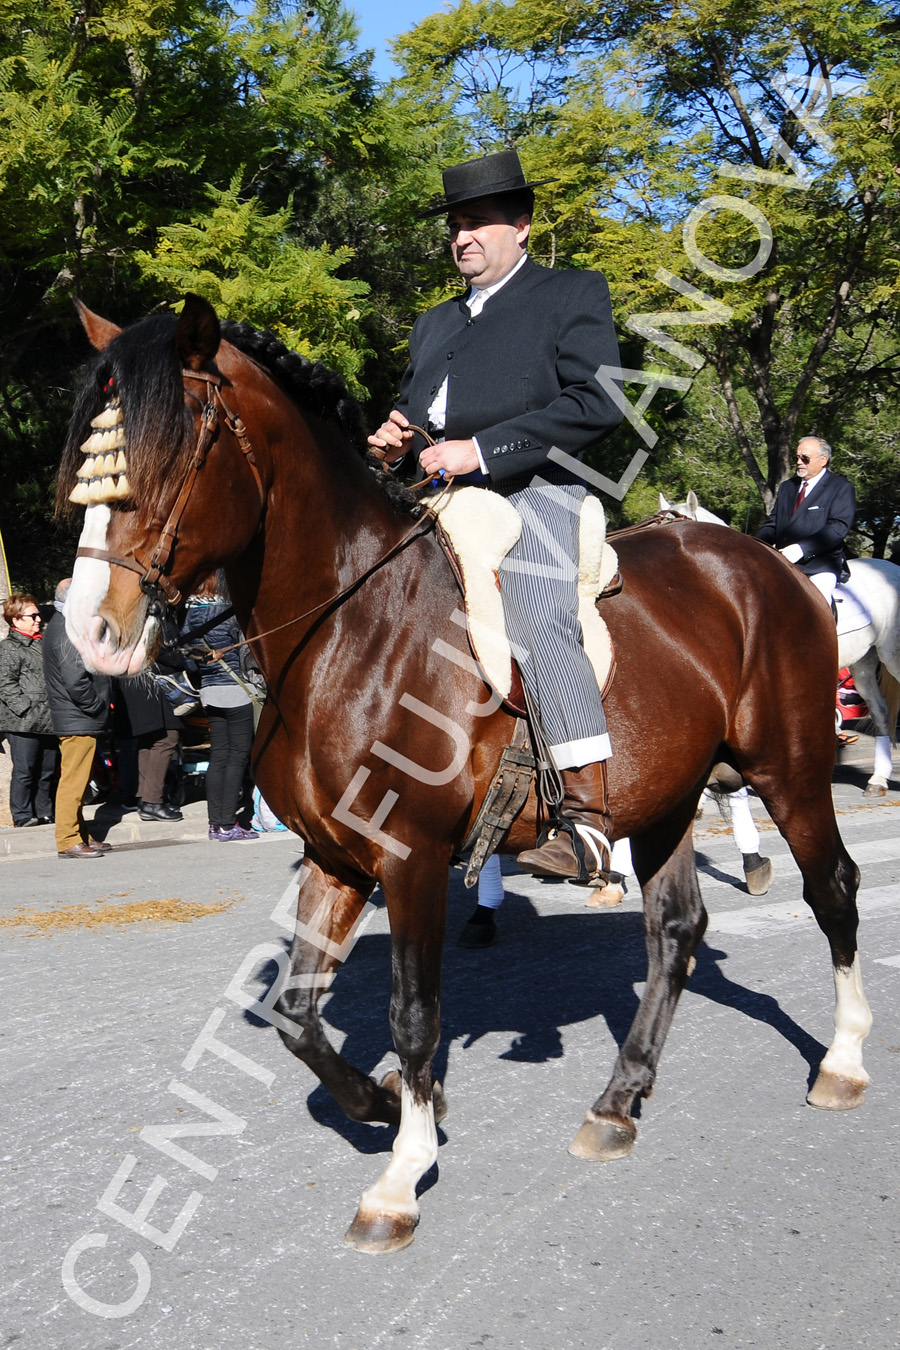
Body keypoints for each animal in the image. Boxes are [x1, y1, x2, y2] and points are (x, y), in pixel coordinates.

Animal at [58, 292, 874, 1252]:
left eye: (171, 450)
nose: (88, 633)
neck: (353, 623)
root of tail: (763, 563)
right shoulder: (336, 857)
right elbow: (296, 1014)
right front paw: (383, 1103)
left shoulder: (409, 856)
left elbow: (414, 1014)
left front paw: (399, 1179)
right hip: (670, 795)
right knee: (674, 931)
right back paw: (617, 1102)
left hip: (788, 768)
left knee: (832, 889)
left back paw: (843, 1062)